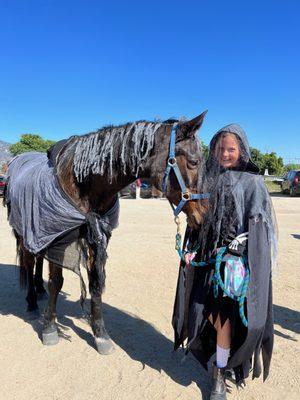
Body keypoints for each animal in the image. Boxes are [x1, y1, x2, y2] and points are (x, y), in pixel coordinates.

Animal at [5, 111, 209, 354]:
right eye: (194, 162)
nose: (204, 216)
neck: (82, 182)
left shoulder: (98, 237)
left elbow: (95, 284)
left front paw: (100, 334)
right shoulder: (60, 240)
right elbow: (56, 282)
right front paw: (49, 328)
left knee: (37, 261)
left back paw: (39, 290)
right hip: (25, 231)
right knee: (29, 262)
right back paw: (32, 302)